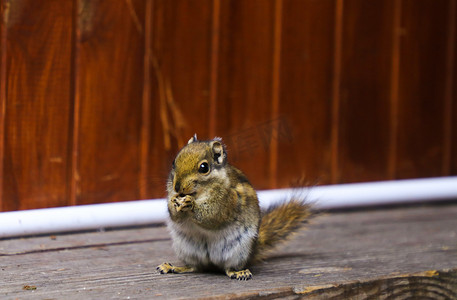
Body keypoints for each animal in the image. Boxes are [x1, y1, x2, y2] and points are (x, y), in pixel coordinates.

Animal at [156, 135, 310, 280]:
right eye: (174, 162)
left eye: (204, 167)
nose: (177, 187)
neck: (199, 193)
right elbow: (175, 217)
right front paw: (174, 202)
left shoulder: (227, 202)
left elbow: (212, 216)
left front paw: (190, 203)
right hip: (186, 249)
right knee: (194, 267)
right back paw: (173, 267)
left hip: (238, 251)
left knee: (228, 268)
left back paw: (239, 272)